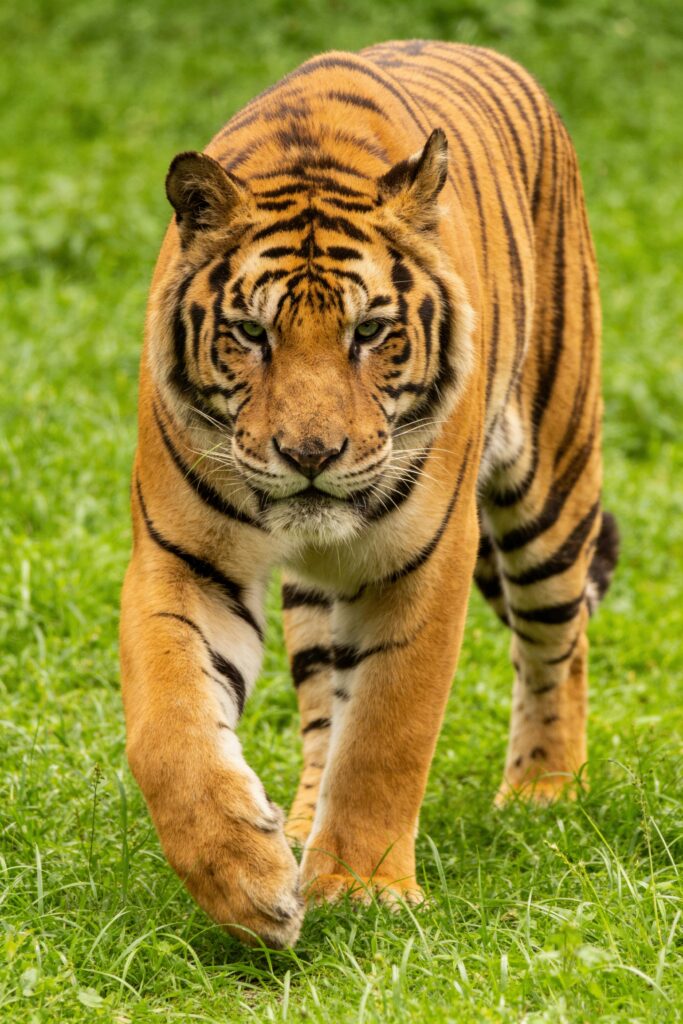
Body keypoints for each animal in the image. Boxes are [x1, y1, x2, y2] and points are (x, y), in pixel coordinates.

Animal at [120, 39, 619, 948]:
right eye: (251, 333)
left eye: (371, 332)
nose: (310, 455)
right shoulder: (182, 559)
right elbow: (170, 733)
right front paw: (246, 881)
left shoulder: (422, 561)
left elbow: (388, 730)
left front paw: (361, 888)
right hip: (321, 599)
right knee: (325, 709)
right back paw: (298, 825)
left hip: (551, 487)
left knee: (557, 645)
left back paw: (544, 793)